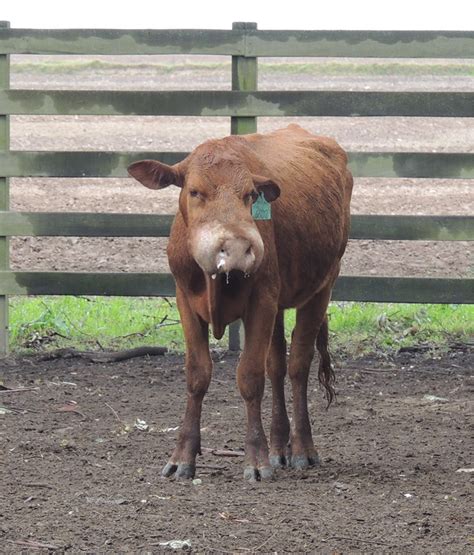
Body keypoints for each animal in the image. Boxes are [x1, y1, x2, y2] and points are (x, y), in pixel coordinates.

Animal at [129, 124, 352, 480]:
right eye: (194, 191)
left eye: (250, 195)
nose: (236, 248)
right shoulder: (185, 300)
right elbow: (197, 375)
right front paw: (182, 457)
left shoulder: (262, 301)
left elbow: (250, 377)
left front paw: (256, 460)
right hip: (280, 304)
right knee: (277, 366)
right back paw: (279, 448)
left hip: (322, 287)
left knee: (297, 366)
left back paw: (302, 449)